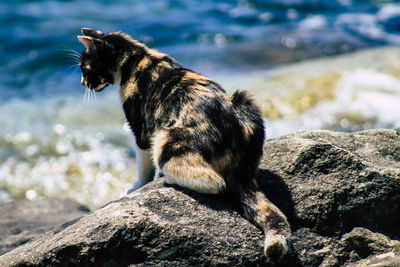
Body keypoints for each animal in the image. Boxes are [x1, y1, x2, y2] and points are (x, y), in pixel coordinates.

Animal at [77, 27, 290, 262]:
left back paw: (168, 179)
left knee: (216, 182)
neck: (136, 58)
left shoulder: (140, 130)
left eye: (85, 69)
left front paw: (135, 187)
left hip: (166, 139)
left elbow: (143, 167)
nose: (82, 83)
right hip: (246, 102)